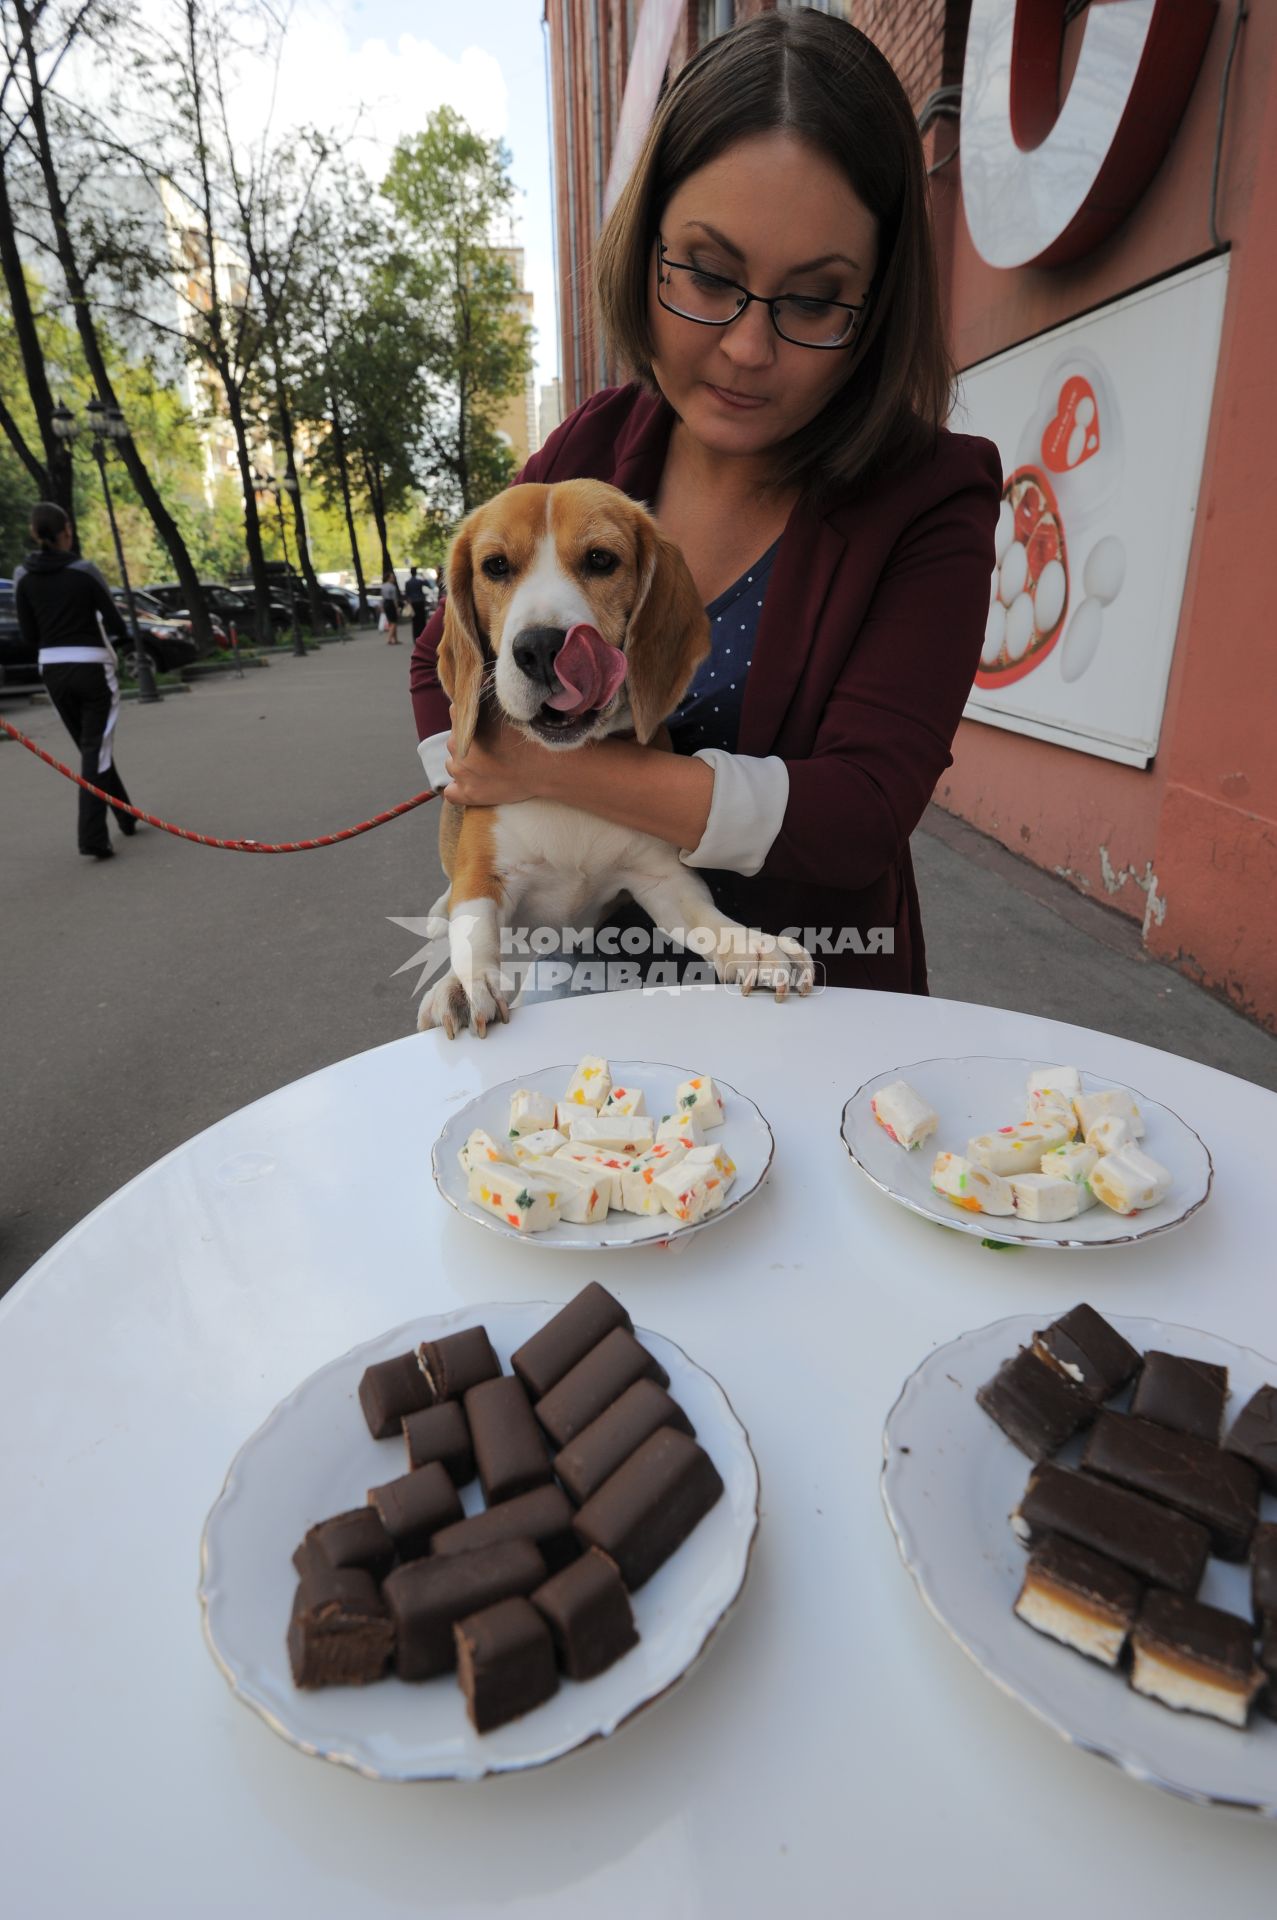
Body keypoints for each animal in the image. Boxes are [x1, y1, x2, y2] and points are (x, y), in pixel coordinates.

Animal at [420, 487, 818, 1044]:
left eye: (601, 560)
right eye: (495, 566)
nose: (540, 647)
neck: (568, 770)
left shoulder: (662, 878)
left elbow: (704, 916)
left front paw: (754, 946)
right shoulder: (485, 875)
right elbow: (475, 929)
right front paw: (464, 981)